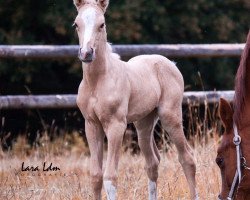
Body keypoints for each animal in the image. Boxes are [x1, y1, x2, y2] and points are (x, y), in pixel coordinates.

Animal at [73, 0, 198, 199]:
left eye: (102, 24)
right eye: (76, 24)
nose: (86, 53)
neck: (97, 81)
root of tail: (171, 63)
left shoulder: (116, 125)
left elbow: (110, 176)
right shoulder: (91, 124)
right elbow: (96, 176)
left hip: (170, 116)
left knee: (187, 158)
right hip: (144, 122)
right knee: (153, 163)